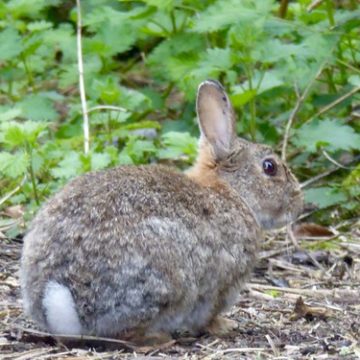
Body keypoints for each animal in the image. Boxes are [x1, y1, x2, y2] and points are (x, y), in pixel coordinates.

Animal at [19, 80, 300, 342]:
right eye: (270, 167)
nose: (298, 202)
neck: (233, 192)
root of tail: (63, 301)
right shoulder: (222, 285)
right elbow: (208, 315)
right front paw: (224, 326)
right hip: (164, 281)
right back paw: (159, 338)